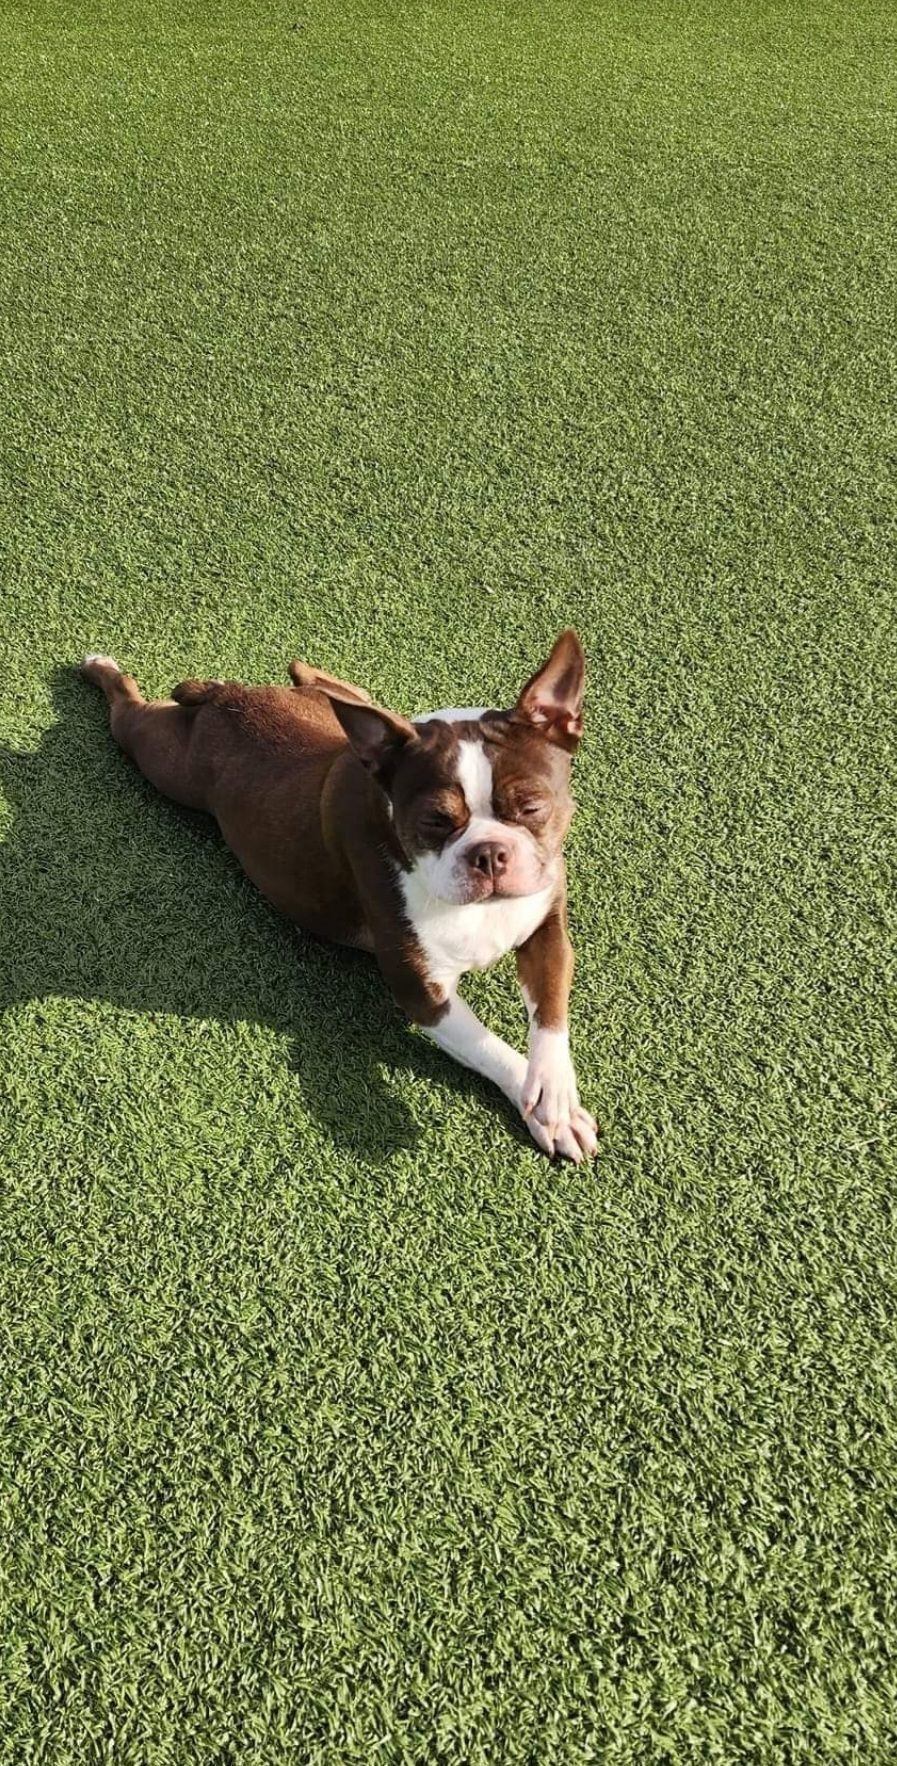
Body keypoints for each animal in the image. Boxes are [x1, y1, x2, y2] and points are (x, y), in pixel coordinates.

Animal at [80, 632, 600, 1158]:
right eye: (434, 821)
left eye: (532, 807)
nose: (490, 853)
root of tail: (230, 697)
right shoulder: (423, 995)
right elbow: (490, 1048)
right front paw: (547, 1109)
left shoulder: (547, 929)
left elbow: (551, 1016)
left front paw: (553, 1095)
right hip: (161, 758)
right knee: (130, 709)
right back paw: (101, 667)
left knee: (309, 674)